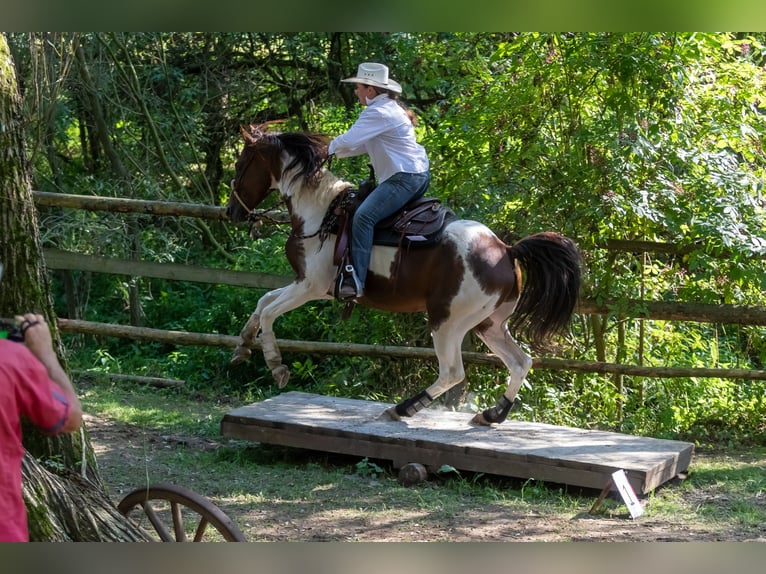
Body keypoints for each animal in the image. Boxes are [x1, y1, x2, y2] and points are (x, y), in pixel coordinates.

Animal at [226, 124, 582, 426]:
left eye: (241, 165)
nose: (232, 211)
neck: (322, 214)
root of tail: (507, 250)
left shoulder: (311, 286)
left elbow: (269, 312)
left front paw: (276, 365)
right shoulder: (301, 283)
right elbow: (262, 301)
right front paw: (242, 346)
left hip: (448, 322)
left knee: (453, 371)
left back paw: (403, 408)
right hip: (488, 324)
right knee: (521, 362)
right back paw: (492, 414)